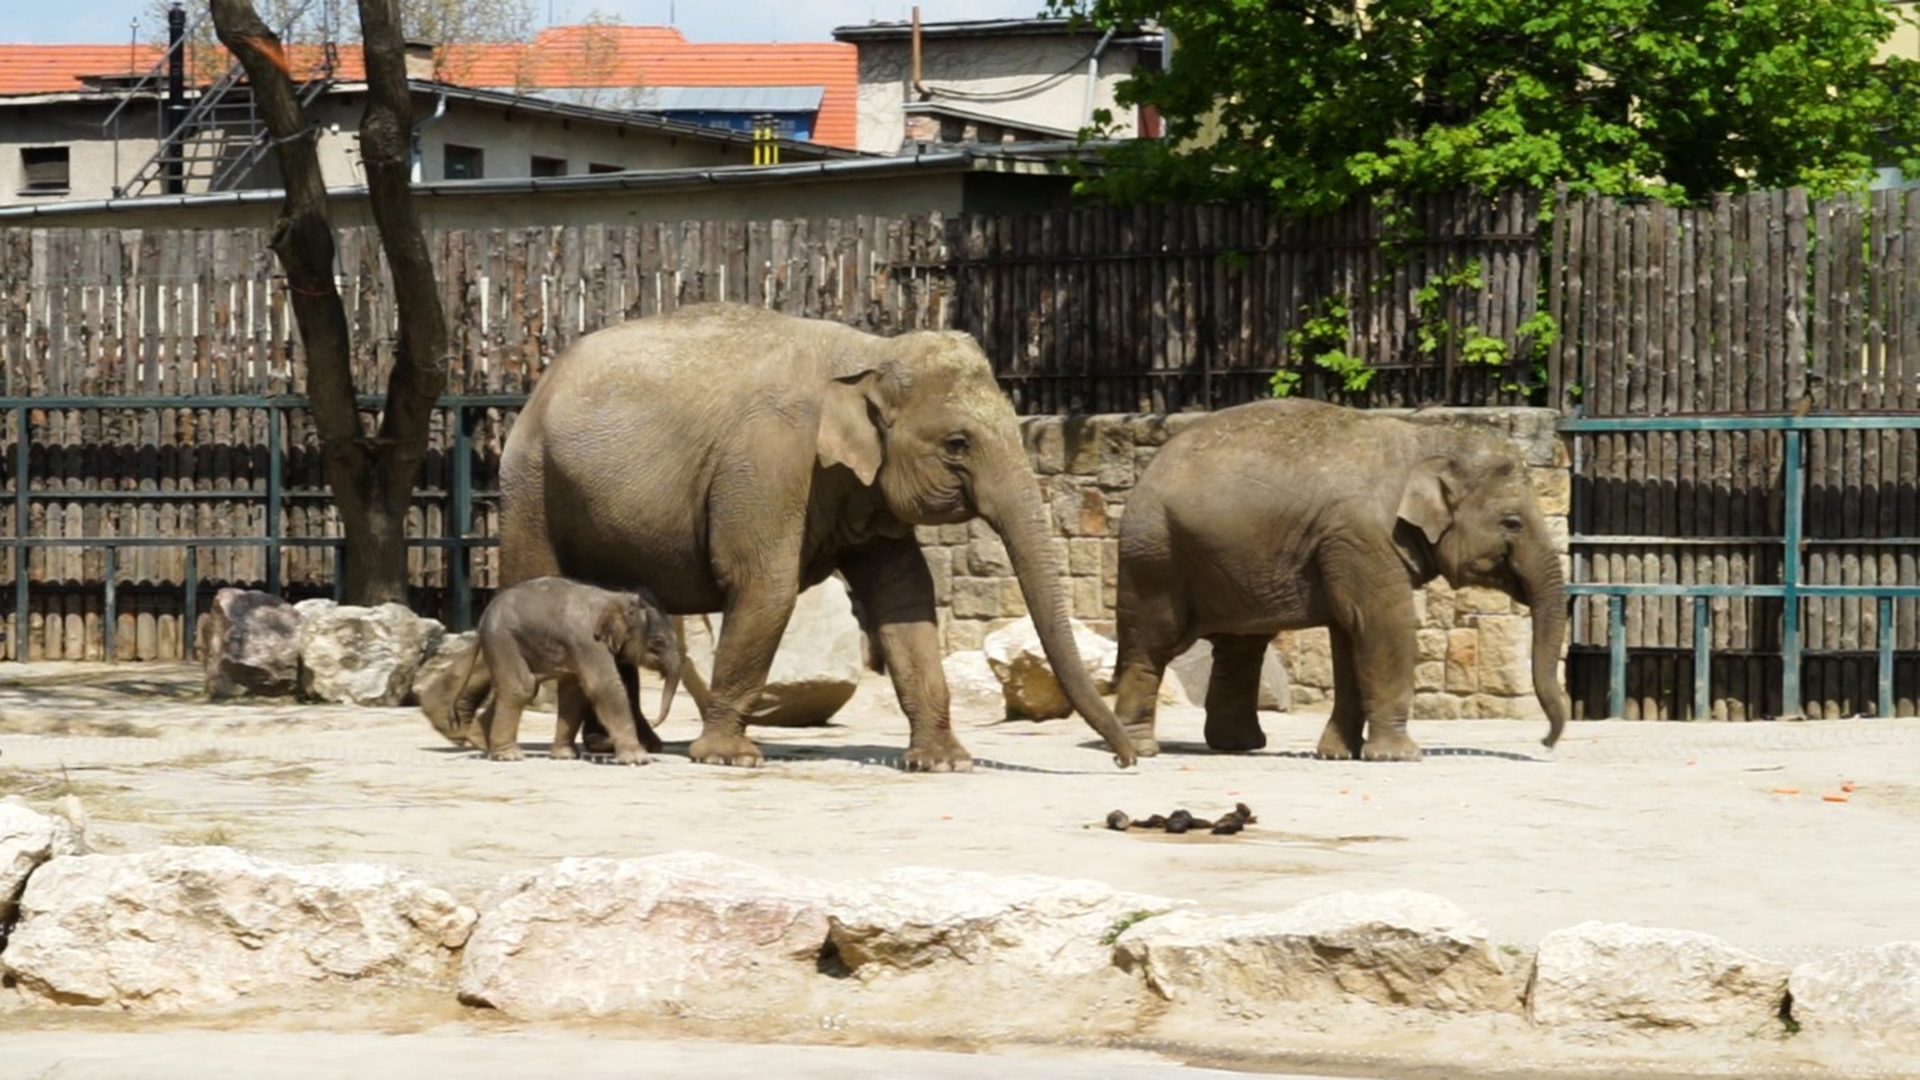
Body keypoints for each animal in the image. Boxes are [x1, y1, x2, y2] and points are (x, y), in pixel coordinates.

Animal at [451, 576, 683, 760]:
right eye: (659, 641)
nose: (654, 722)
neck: (616, 597)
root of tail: (483, 617)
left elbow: (574, 693)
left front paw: (566, 756)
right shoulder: (588, 641)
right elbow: (604, 687)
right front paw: (638, 759)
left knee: (524, 687)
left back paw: (480, 741)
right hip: (503, 639)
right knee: (521, 687)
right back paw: (509, 756)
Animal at [491, 303, 1136, 764]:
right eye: (958, 444)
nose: (1126, 760)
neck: (870, 352)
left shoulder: (863, 490)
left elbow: (906, 597)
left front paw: (945, 762)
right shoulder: (769, 462)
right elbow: (765, 588)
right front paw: (728, 758)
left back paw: (626, 746)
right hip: (530, 485)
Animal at [1113, 399, 1574, 760]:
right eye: (1512, 523)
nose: (1546, 741)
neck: (1426, 440)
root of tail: (1145, 474)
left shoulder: (1343, 546)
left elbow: (1349, 634)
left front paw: (1337, 754)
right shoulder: (1362, 536)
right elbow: (1383, 625)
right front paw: (1399, 757)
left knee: (1241, 647)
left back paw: (1239, 746)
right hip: (1157, 557)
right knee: (1154, 643)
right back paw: (1143, 748)